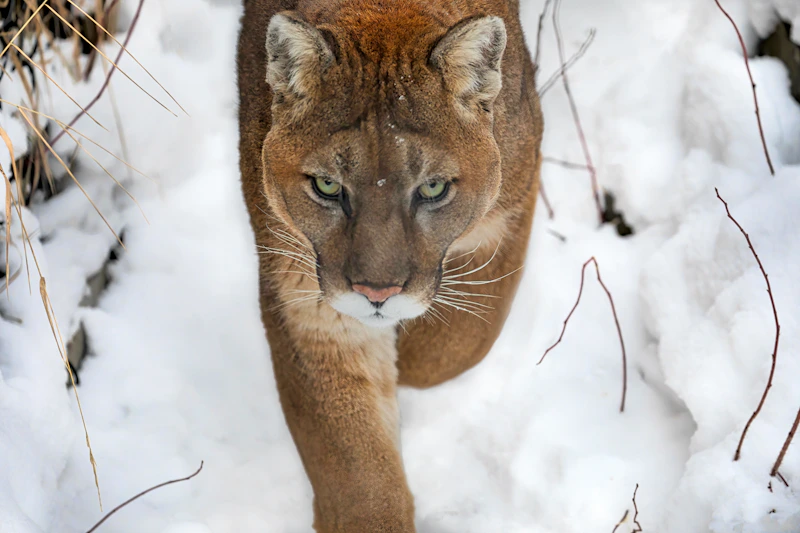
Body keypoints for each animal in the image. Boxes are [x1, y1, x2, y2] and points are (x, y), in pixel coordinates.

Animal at [237, 0, 543, 530]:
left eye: (433, 188)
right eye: (328, 186)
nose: (376, 294)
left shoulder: (509, 207)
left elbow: (455, 346)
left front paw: (410, 358)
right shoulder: (309, 301)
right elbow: (358, 477)